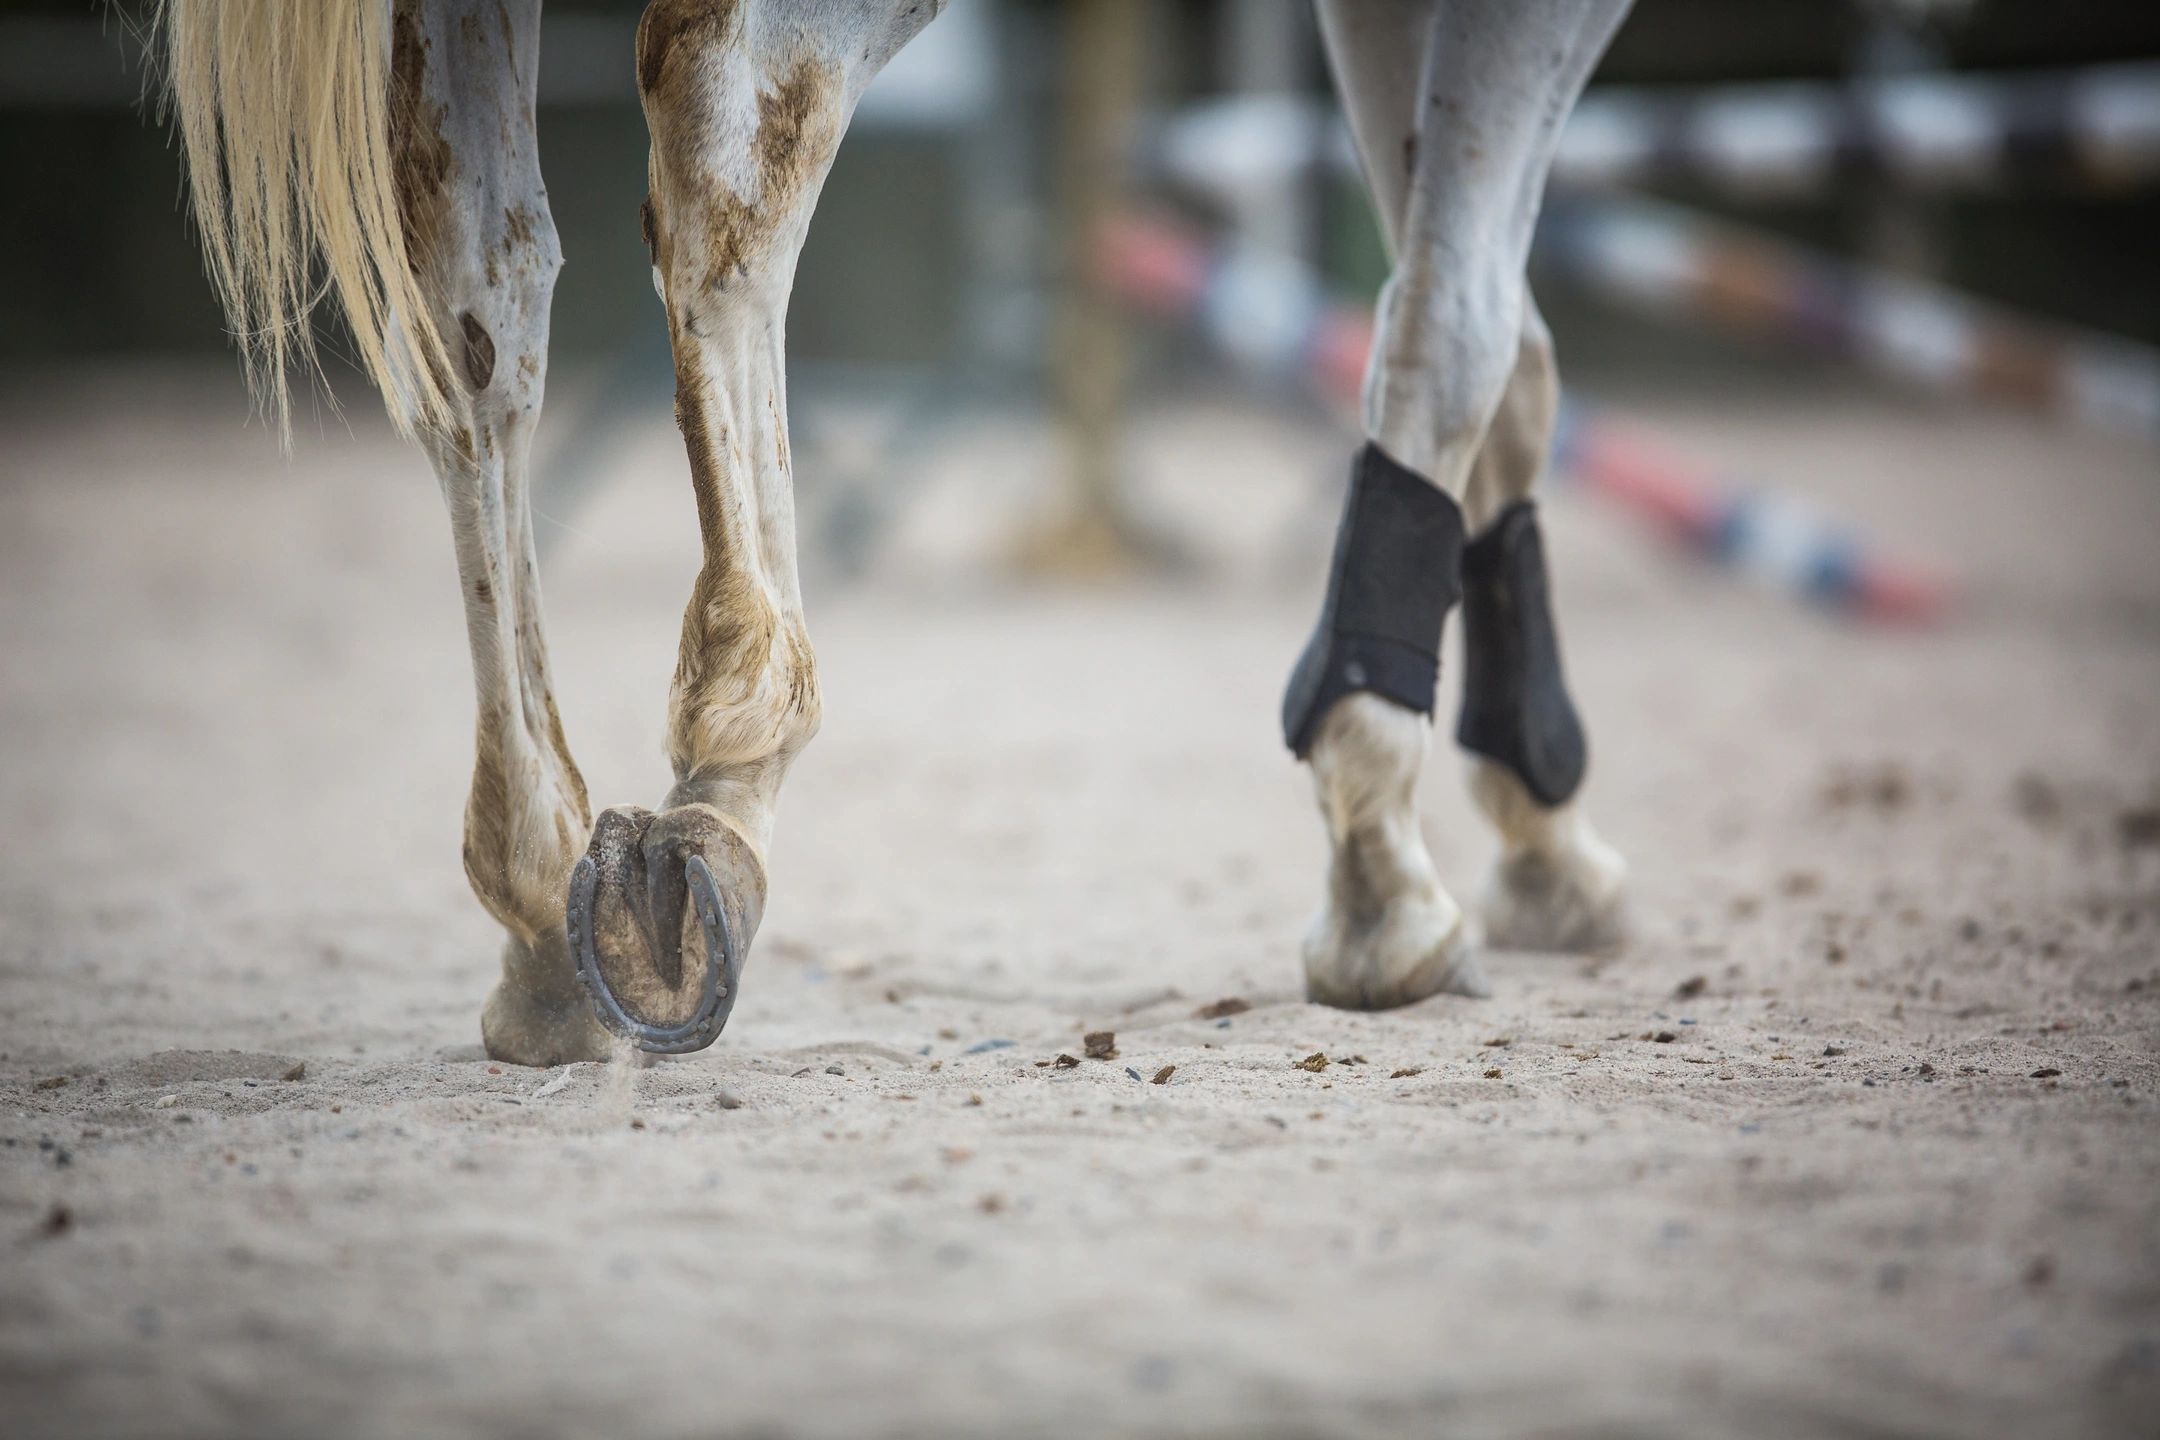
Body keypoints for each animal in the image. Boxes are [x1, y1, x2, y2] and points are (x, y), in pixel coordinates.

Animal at [159, 0, 1624, 1066]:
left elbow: (1504, 344)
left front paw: (1532, 841)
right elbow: (1456, 325)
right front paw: (1401, 878)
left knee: (469, 278)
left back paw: (546, 905)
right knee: (733, 122)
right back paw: (736, 753)